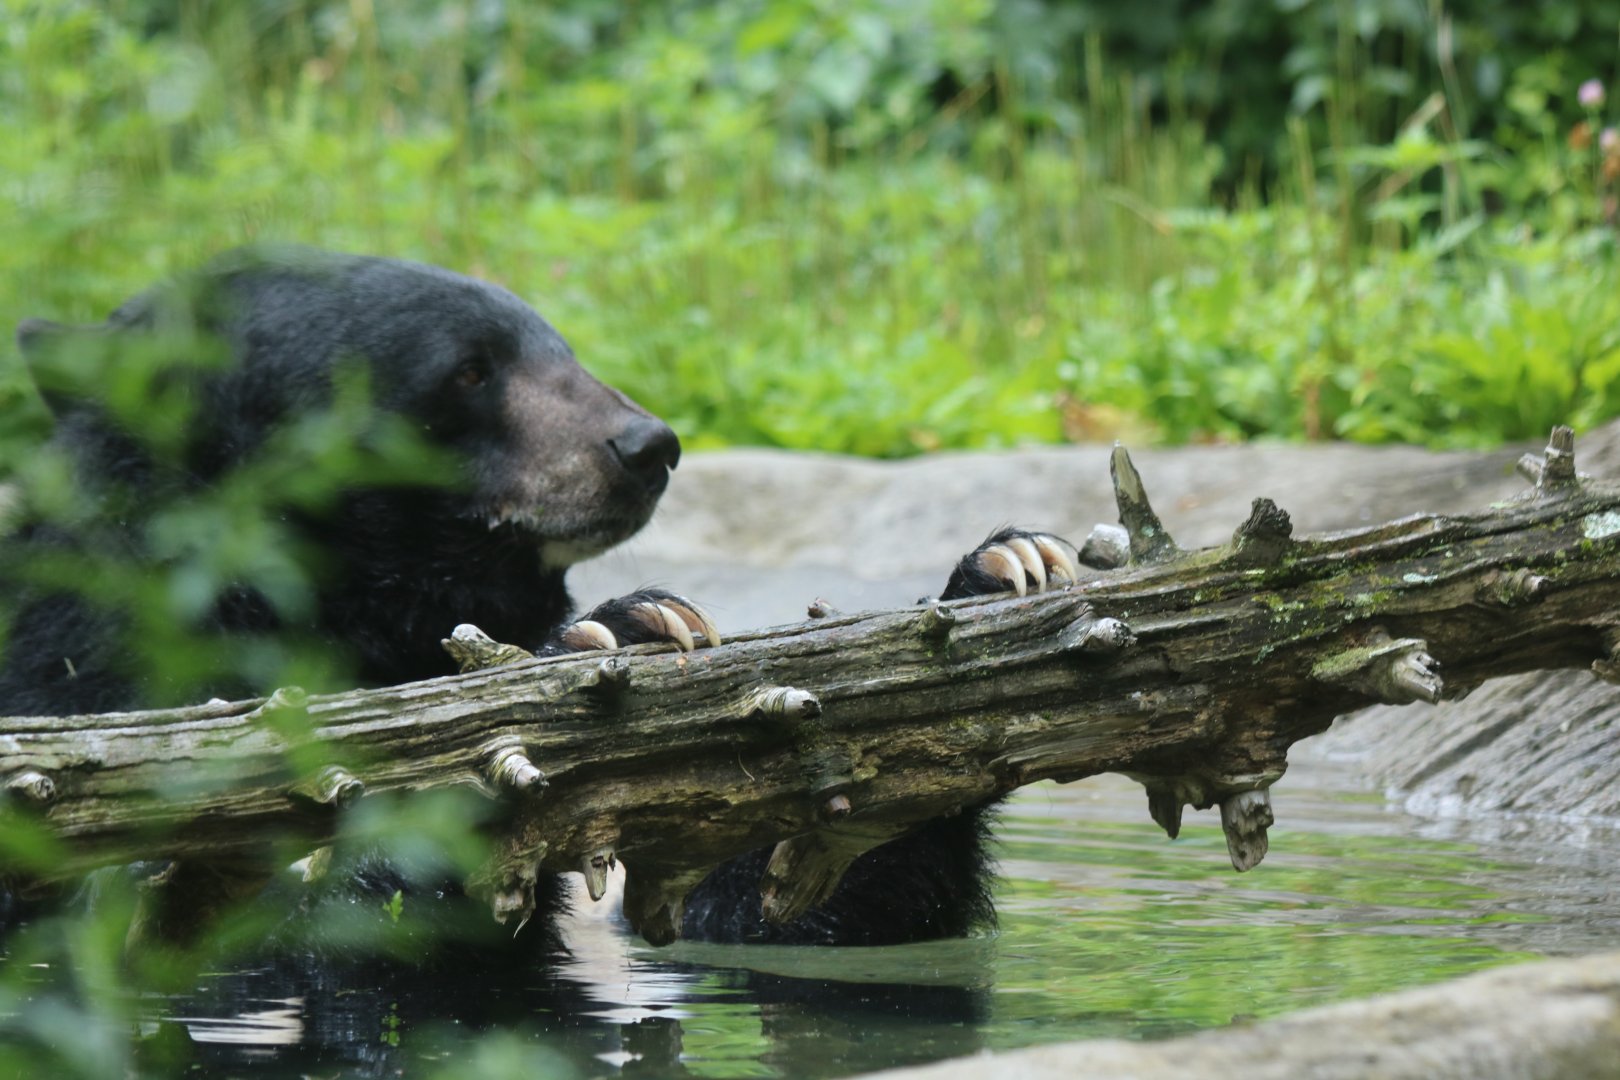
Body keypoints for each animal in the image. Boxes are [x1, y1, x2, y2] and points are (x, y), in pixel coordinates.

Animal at [0, 246, 1081, 955]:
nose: (648, 446)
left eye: (560, 348)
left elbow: (777, 911)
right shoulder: (107, 689)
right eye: (470, 369)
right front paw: (584, 663)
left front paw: (1001, 573)